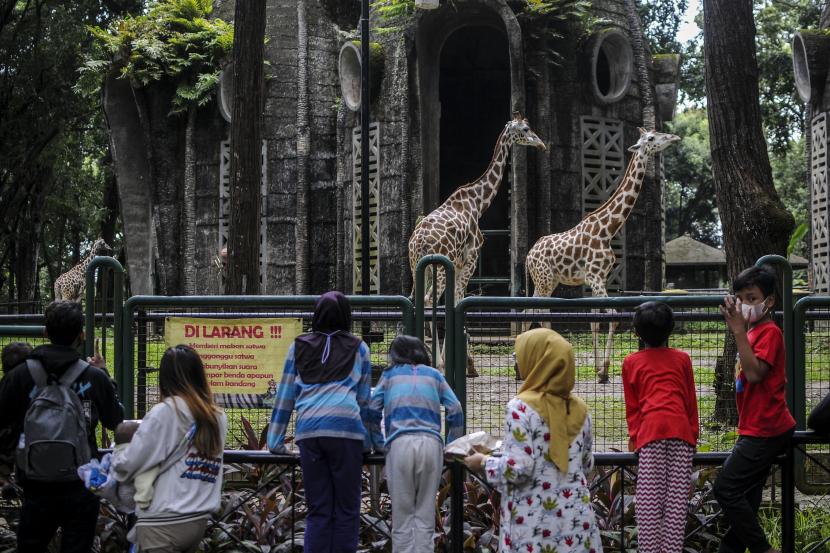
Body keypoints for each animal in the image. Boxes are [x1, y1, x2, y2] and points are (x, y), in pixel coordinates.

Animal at [412, 112, 552, 376]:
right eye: (526, 129)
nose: (541, 144)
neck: (477, 203)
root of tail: (420, 241)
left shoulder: (459, 264)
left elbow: (454, 303)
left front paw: (465, 362)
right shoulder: (470, 259)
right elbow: (459, 302)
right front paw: (466, 363)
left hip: (416, 266)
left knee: (416, 299)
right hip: (438, 266)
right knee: (427, 300)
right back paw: (438, 362)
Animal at [528, 128, 684, 382]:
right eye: (651, 138)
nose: (673, 137)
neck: (608, 230)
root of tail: (529, 254)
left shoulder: (600, 278)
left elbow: (594, 319)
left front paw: (599, 368)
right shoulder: (595, 277)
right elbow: (611, 315)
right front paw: (604, 370)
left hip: (547, 281)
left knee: (533, 310)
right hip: (543, 280)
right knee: (534, 310)